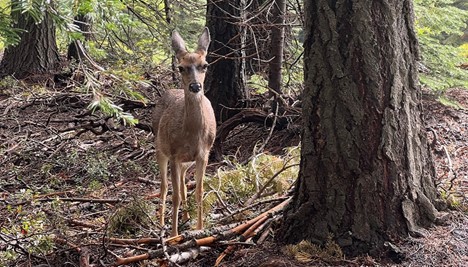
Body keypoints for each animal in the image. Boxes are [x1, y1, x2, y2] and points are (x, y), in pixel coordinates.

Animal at [153, 27, 217, 237]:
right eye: (181, 67)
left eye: (205, 65)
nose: (195, 86)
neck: (192, 134)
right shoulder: (173, 154)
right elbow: (175, 197)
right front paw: (174, 236)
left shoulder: (203, 154)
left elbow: (199, 191)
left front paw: (200, 229)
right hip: (160, 149)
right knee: (164, 187)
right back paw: (161, 224)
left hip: (185, 161)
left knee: (181, 182)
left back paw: (187, 217)